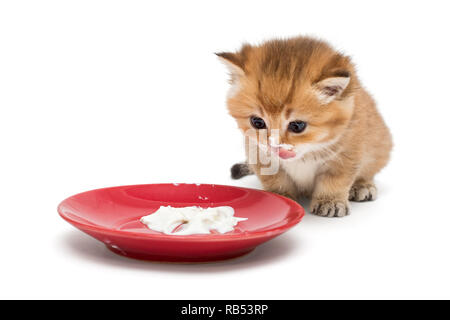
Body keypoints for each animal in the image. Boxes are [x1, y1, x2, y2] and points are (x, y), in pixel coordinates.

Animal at [217, 37, 390, 218]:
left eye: (297, 126)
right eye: (257, 122)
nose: (274, 145)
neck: (306, 154)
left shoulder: (347, 153)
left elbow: (335, 180)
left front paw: (330, 201)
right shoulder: (257, 151)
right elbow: (276, 179)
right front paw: (281, 198)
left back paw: (362, 185)